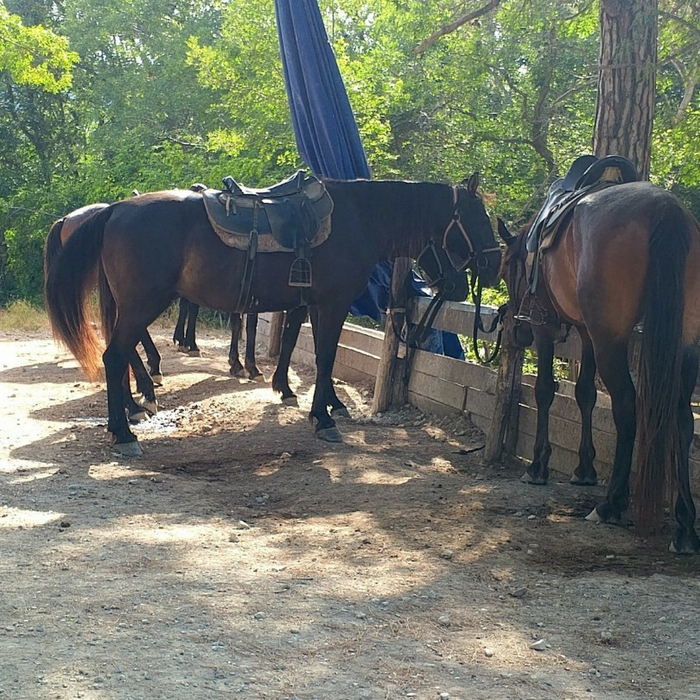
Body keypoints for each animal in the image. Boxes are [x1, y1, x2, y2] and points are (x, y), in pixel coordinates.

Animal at [498, 183, 700, 556]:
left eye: (506, 271)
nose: (518, 333)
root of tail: (664, 207)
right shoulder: (586, 333)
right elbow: (585, 395)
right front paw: (584, 468)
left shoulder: (548, 327)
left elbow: (545, 391)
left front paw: (538, 466)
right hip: (684, 339)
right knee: (681, 418)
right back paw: (684, 526)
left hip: (611, 339)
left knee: (626, 406)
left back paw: (611, 504)